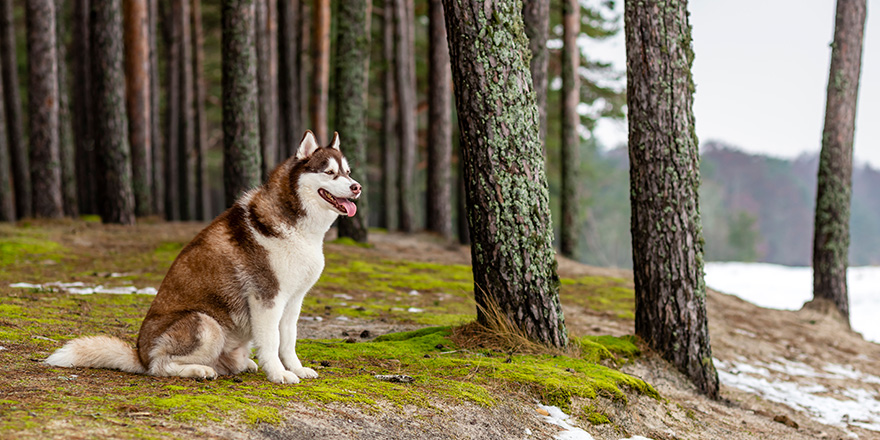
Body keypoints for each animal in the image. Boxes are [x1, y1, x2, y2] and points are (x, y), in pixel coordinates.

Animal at [43, 131, 360, 384]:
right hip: (205, 323)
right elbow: (271, 342)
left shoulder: (293, 300)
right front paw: (279, 374)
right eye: (329, 172)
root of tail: (139, 354)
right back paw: (199, 370)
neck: (299, 226)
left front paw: (296, 368)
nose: (356, 186)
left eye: (347, 171)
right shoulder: (266, 299)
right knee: (160, 366)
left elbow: (288, 341)